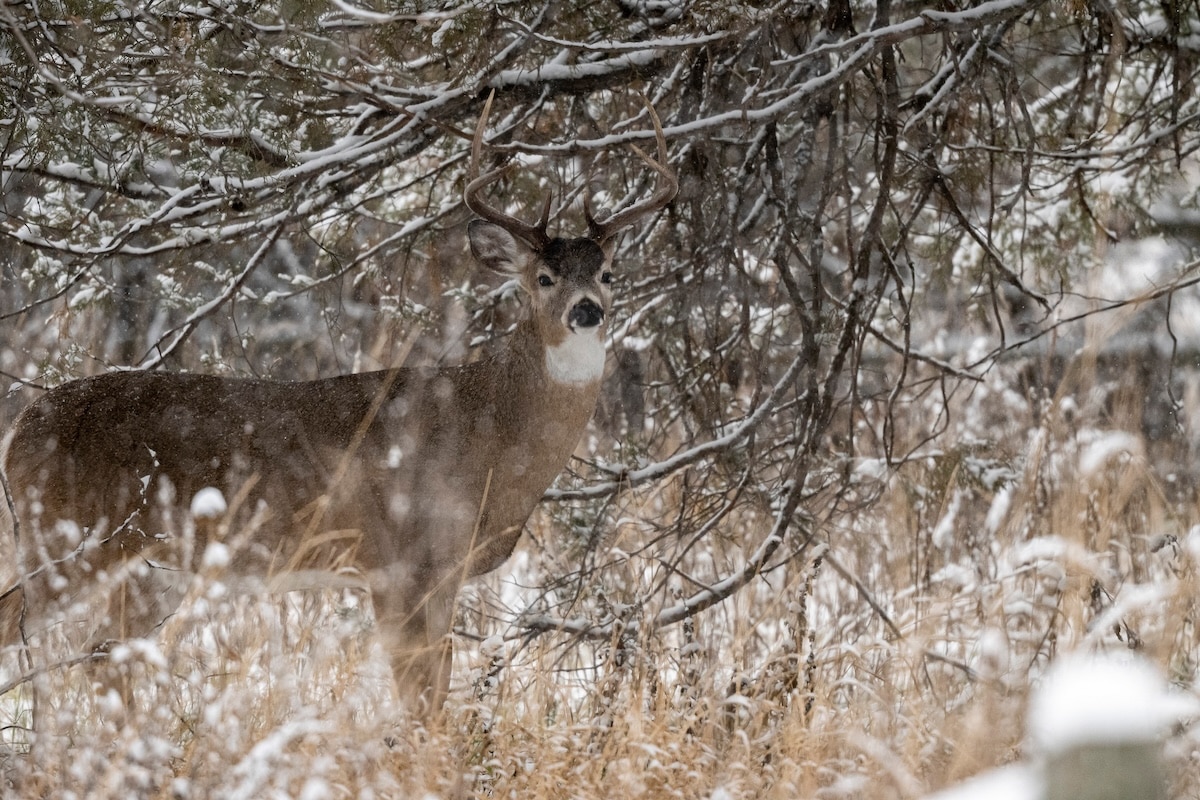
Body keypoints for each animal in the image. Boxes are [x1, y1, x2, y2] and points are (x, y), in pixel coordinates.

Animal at [0, 94, 676, 711]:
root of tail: (22, 428)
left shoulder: (443, 574)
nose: (586, 310)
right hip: (68, 540)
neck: (492, 435)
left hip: (147, 565)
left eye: (608, 274)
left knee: (102, 659)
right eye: (543, 278)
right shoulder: (397, 560)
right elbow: (421, 700)